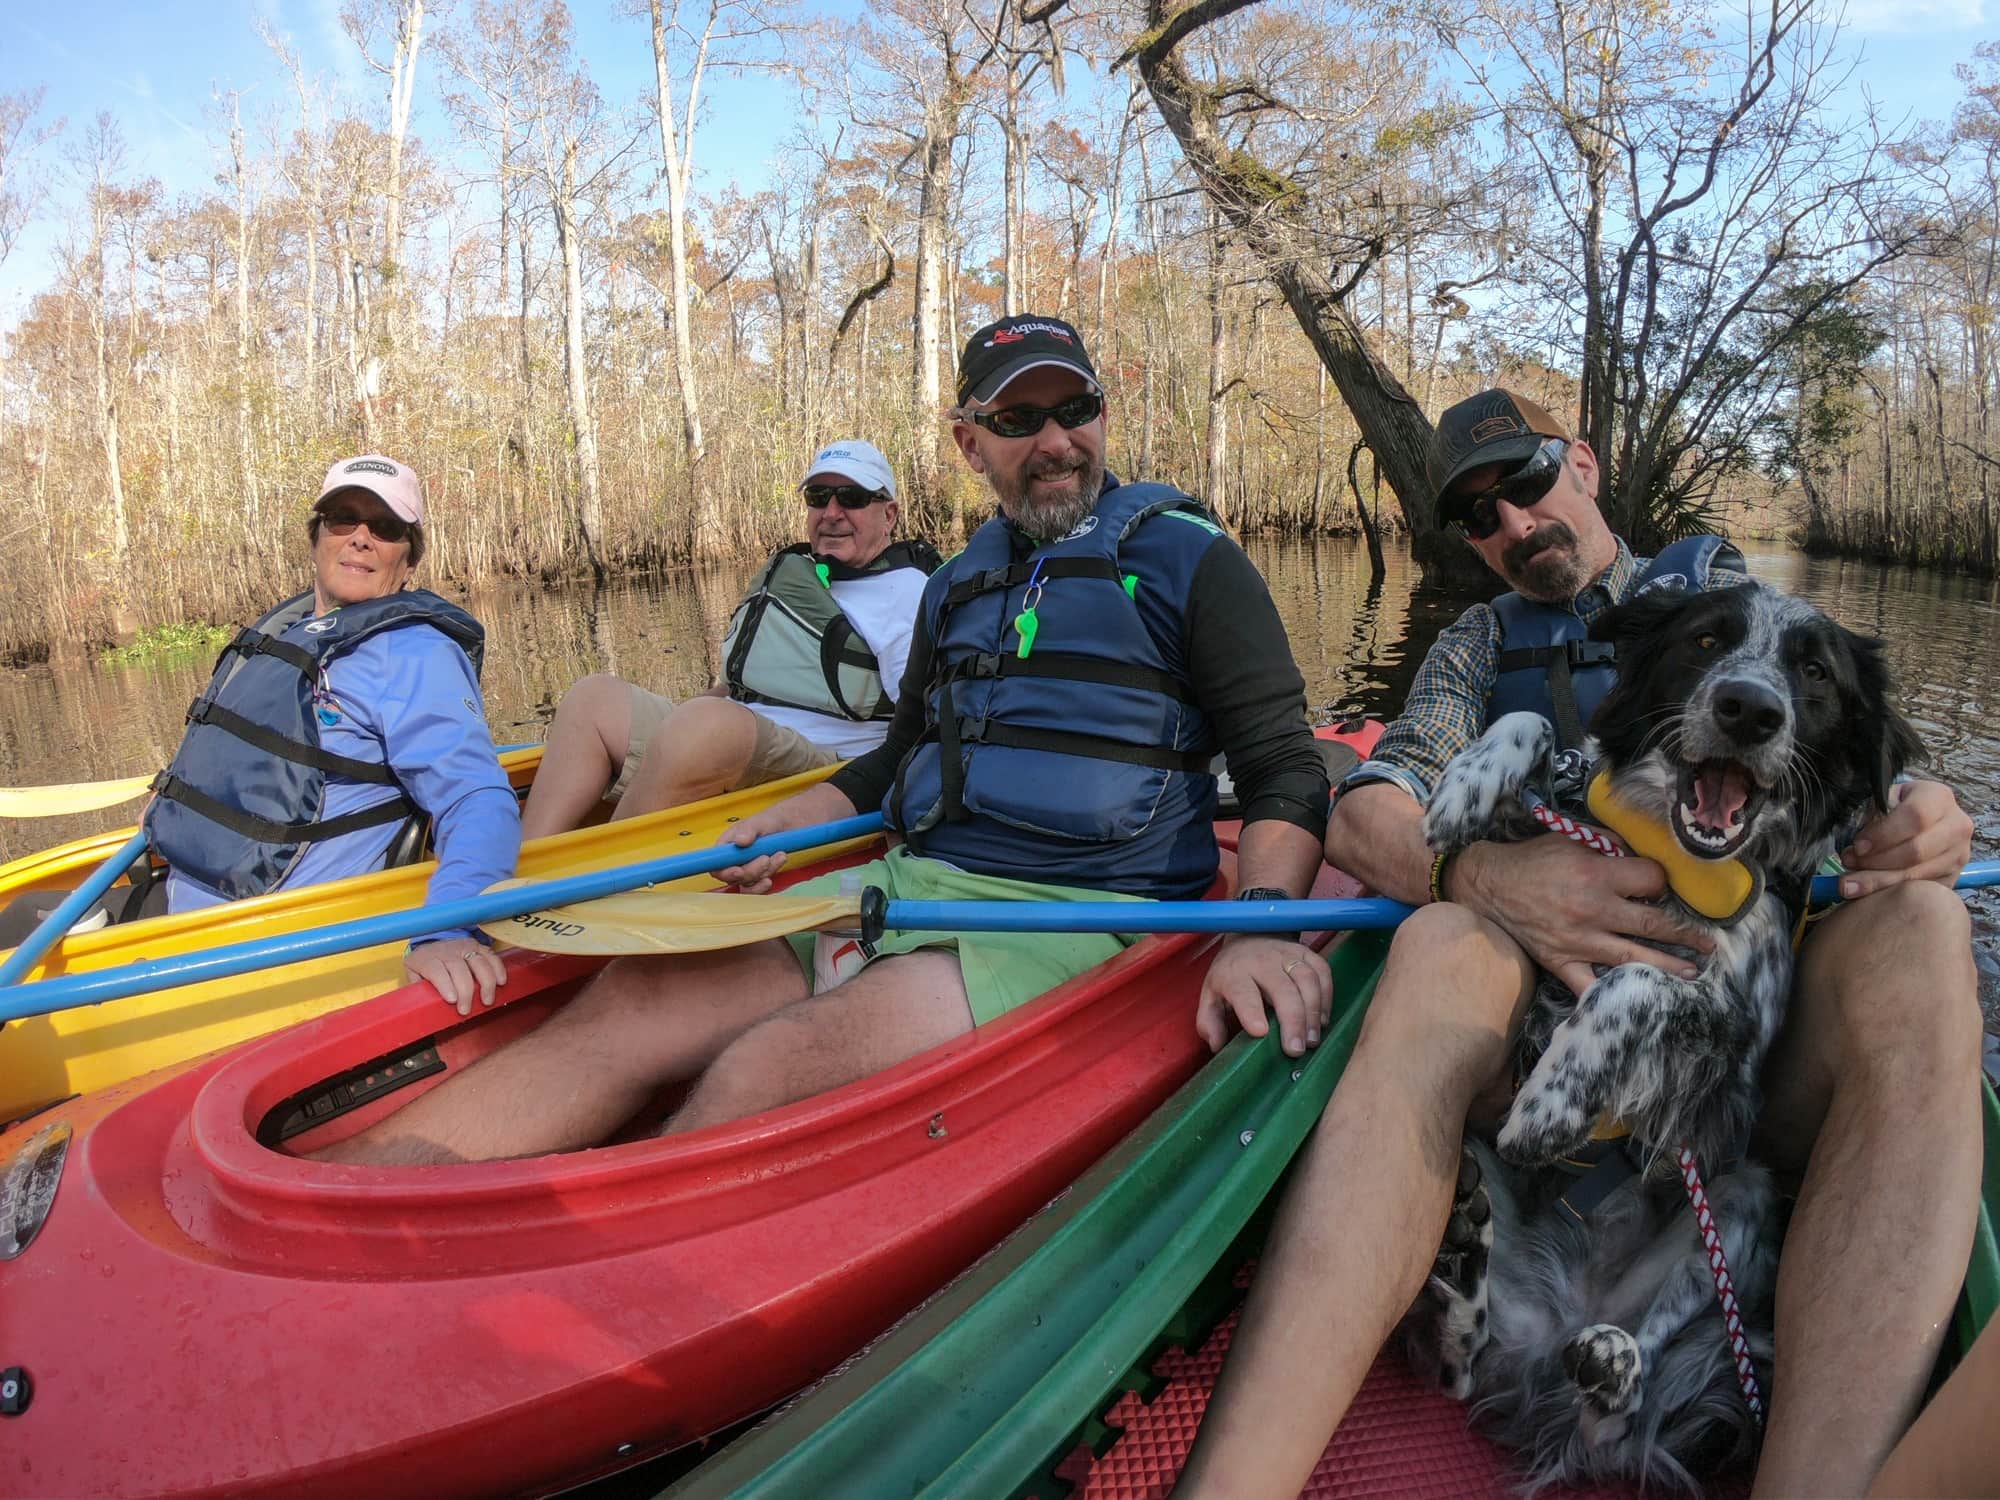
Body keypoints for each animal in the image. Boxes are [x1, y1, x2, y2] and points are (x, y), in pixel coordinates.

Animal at [1408, 580, 1920, 1496]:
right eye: (1706, 640)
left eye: (1815, 672)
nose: (1747, 709)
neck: (1682, 865)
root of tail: (1561, 1322)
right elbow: (1535, 731)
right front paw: (1467, 782)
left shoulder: (1731, 1056)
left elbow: (1634, 982)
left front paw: (1551, 1100)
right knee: (1458, 1368)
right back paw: (1466, 1269)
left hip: (1743, 1198)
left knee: (1622, 1404)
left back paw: (1613, 1364)